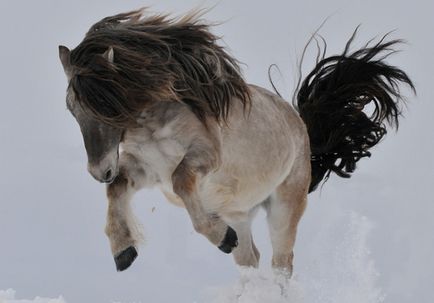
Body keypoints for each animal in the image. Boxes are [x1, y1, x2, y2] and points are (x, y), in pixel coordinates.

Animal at [57, 8, 414, 276]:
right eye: (72, 109)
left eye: (108, 107)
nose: (98, 170)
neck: (152, 126)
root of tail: (302, 129)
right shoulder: (145, 170)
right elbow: (117, 189)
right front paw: (124, 250)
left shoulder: (203, 157)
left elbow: (182, 180)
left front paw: (217, 237)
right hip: (239, 215)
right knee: (249, 258)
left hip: (284, 209)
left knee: (281, 264)